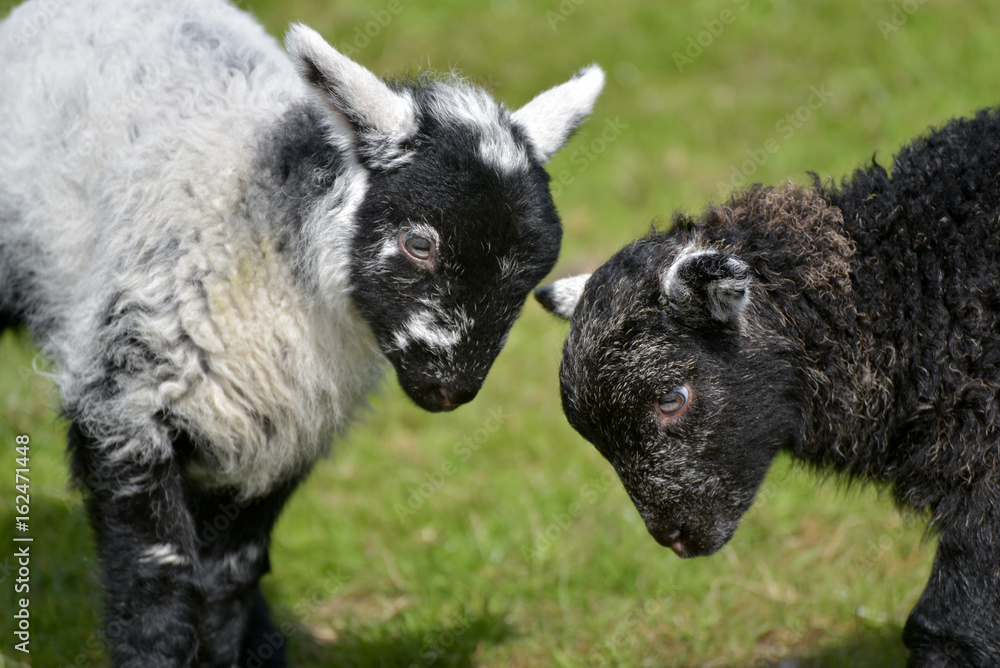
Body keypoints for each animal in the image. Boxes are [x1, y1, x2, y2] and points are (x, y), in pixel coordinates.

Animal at [0, 0, 604, 665]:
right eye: (418, 243)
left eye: (531, 274)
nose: (452, 389)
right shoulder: (125, 400)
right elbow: (156, 582)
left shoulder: (279, 424)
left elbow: (229, 579)